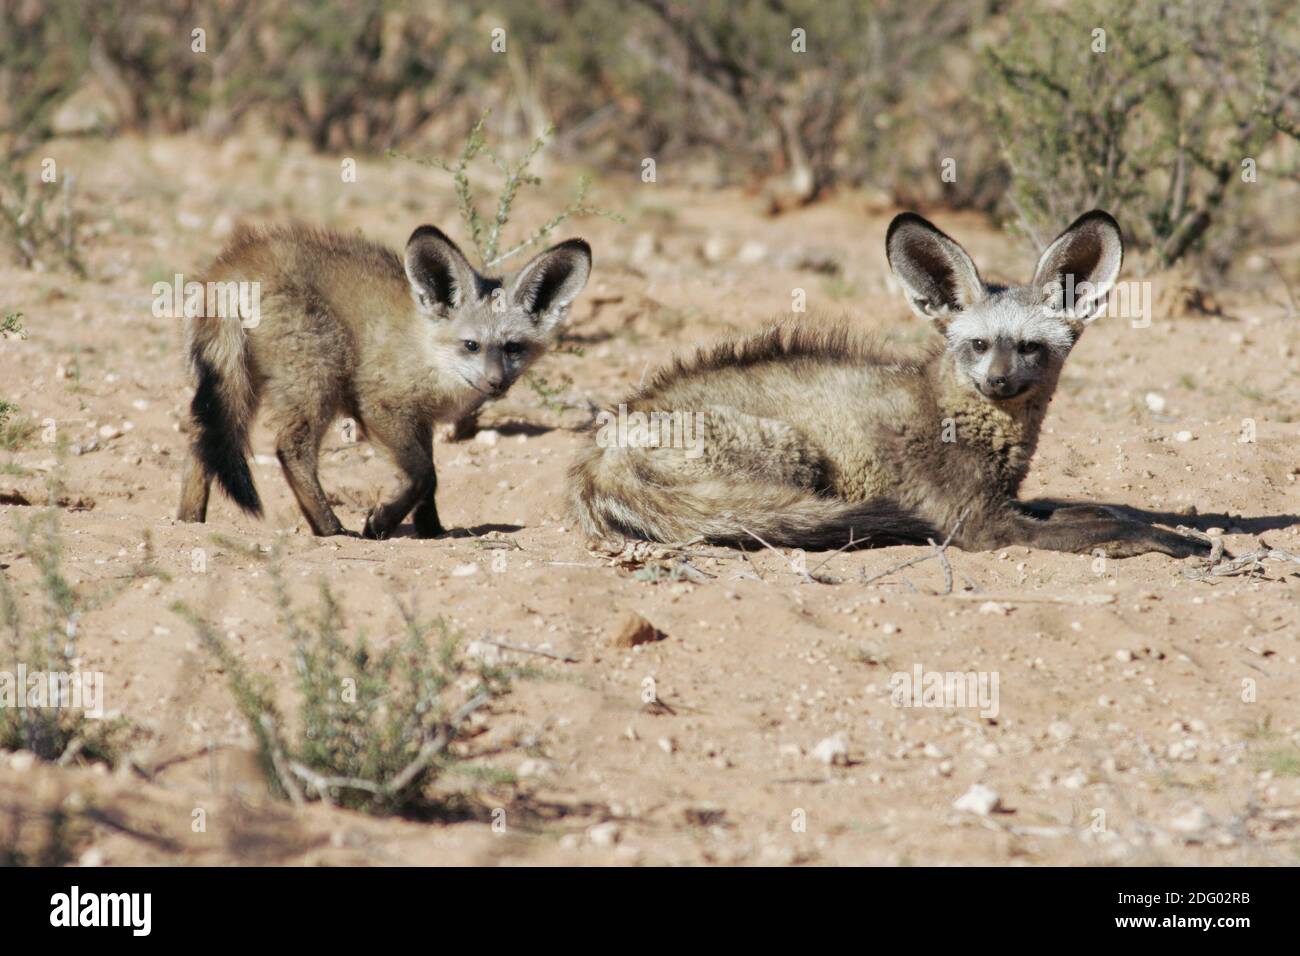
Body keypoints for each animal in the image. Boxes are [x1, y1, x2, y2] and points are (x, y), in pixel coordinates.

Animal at [178, 222, 591, 539]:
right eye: (471, 345)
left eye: (513, 348)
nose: (496, 384)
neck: (426, 351)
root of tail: (237, 262)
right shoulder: (379, 405)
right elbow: (422, 475)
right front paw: (381, 523)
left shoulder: (421, 420)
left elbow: (431, 481)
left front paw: (432, 531)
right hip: (317, 380)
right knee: (290, 450)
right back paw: (330, 528)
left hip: (243, 384)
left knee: (202, 443)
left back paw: (189, 521)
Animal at [569, 210, 1211, 559]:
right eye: (978, 345)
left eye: (1030, 347)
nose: (998, 382)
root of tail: (598, 454)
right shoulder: (979, 522)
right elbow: (1110, 523)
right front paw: (1179, 540)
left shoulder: (1006, 501)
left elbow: (1094, 507)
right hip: (796, 457)